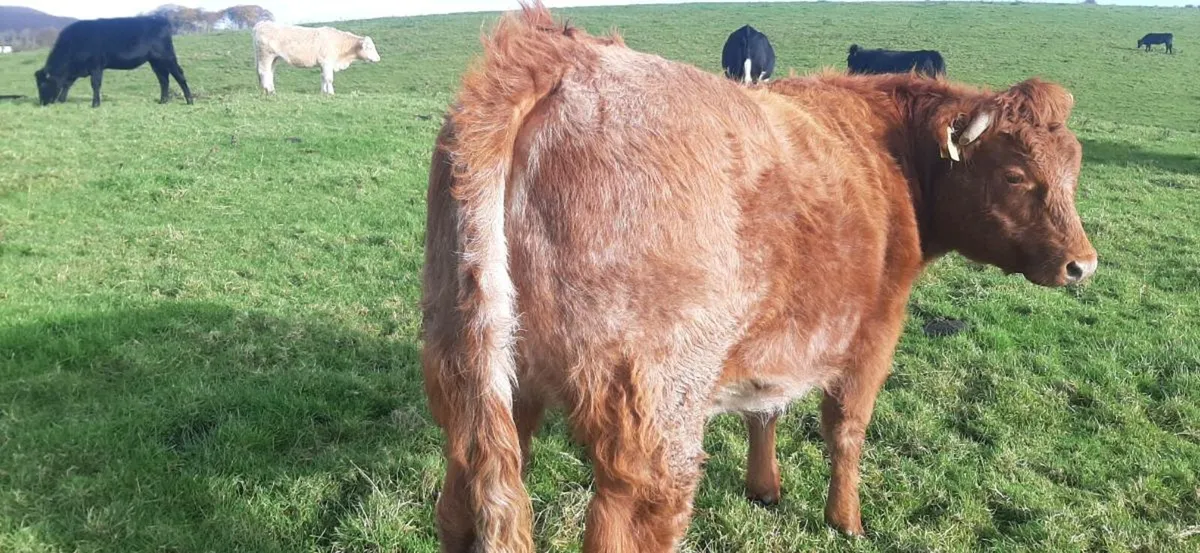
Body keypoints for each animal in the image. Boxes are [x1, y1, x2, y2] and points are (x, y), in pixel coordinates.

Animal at [34, 16, 193, 107]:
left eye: (42, 84)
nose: (42, 103)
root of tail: (160, 20)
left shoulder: (96, 66)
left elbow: (95, 84)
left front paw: (95, 104)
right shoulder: (76, 70)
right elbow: (67, 83)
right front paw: (62, 99)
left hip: (167, 57)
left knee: (179, 75)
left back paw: (189, 100)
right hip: (156, 61)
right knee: (163, 79)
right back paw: (163, 101)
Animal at [252, 21, 380, 95]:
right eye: (370, 47)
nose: (378, 58)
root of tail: (262, 24)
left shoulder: (323, 65)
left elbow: (323, 77)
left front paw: (323, 92)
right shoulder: (327, 62)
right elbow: (329, 79)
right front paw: (331, 93)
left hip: (273, 58)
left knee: (269, 73)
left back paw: (270, 90)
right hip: (265, 55)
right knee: (264, 72)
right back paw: (269, 90)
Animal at [422, 4, 1097, 552]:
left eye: (1074, 168)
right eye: (1015, 174)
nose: (1082, 264)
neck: (889, 155)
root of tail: (556, 53)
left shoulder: (777, 335)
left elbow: (763, 409)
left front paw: (764, 486)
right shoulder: (874, 331)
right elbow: (846, 430)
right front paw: (846, 521)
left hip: (480, 385)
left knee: (460, 505)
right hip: (650, 422)